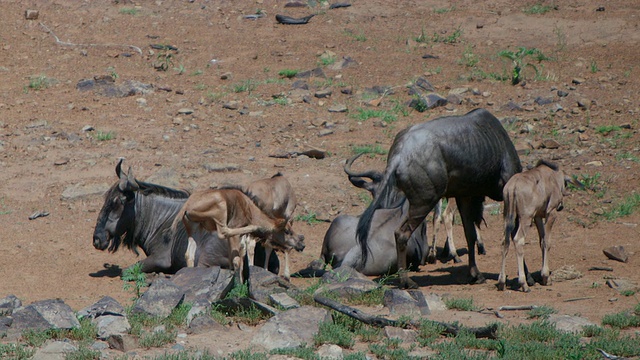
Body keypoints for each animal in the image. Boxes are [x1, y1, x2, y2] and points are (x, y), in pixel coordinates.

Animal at [498, 160, 584, 292]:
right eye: (565, 184)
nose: (561, 206)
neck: (553, 177)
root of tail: (512, 187)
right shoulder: (551, 213)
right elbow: (547, 242)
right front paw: (545, 276)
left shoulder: (537, 216)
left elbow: (541, 241)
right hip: (525, 218)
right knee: (518, 240)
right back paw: (524, 284)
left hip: (507, 217)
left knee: (505, 241)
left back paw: (502, 281)